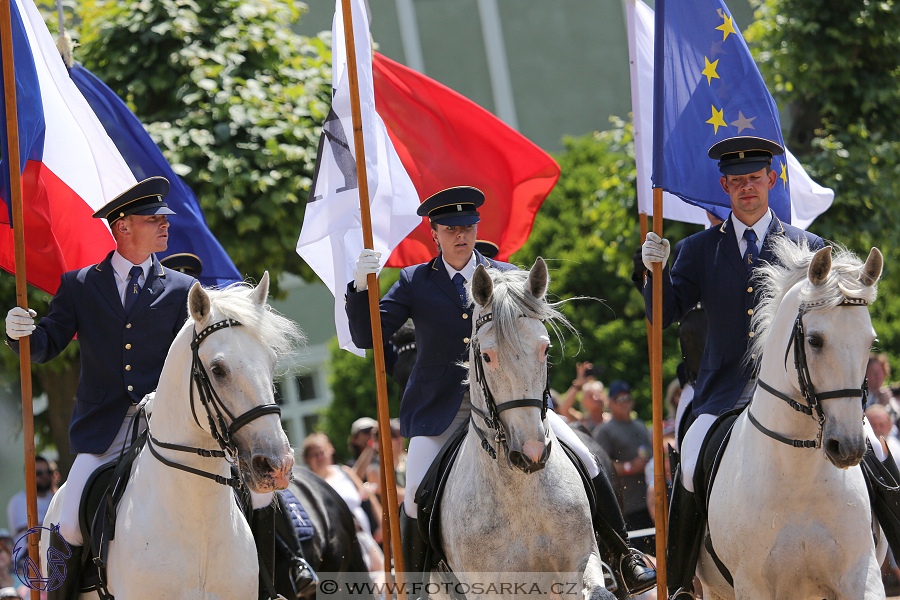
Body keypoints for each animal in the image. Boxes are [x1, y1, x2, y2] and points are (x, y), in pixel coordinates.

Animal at [438, 258, 616, 600]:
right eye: (486, 356)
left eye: (545, 349)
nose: (532, 453)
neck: (521, 493)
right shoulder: (489, 588)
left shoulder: (580, 561)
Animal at [696, 240, 884, 600]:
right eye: (815, 341)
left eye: (871, 342)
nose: (849, 448)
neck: (799, 477)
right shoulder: (752, 585)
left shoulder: (861, 577)